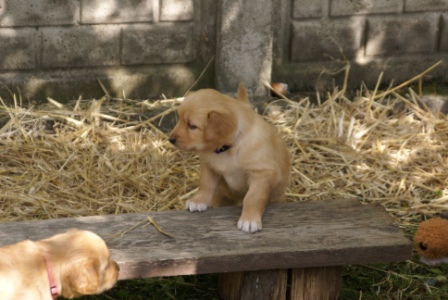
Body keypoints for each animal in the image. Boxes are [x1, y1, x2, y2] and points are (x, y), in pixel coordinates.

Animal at [169, 83, 290, 233]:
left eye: (192, 126)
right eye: (179, 118)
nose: (170, 139)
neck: (228, 149)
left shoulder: (263, 173)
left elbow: (253, 197)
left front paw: (249, 219)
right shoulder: (209, 166)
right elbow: (205, 184)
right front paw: (199, 201)